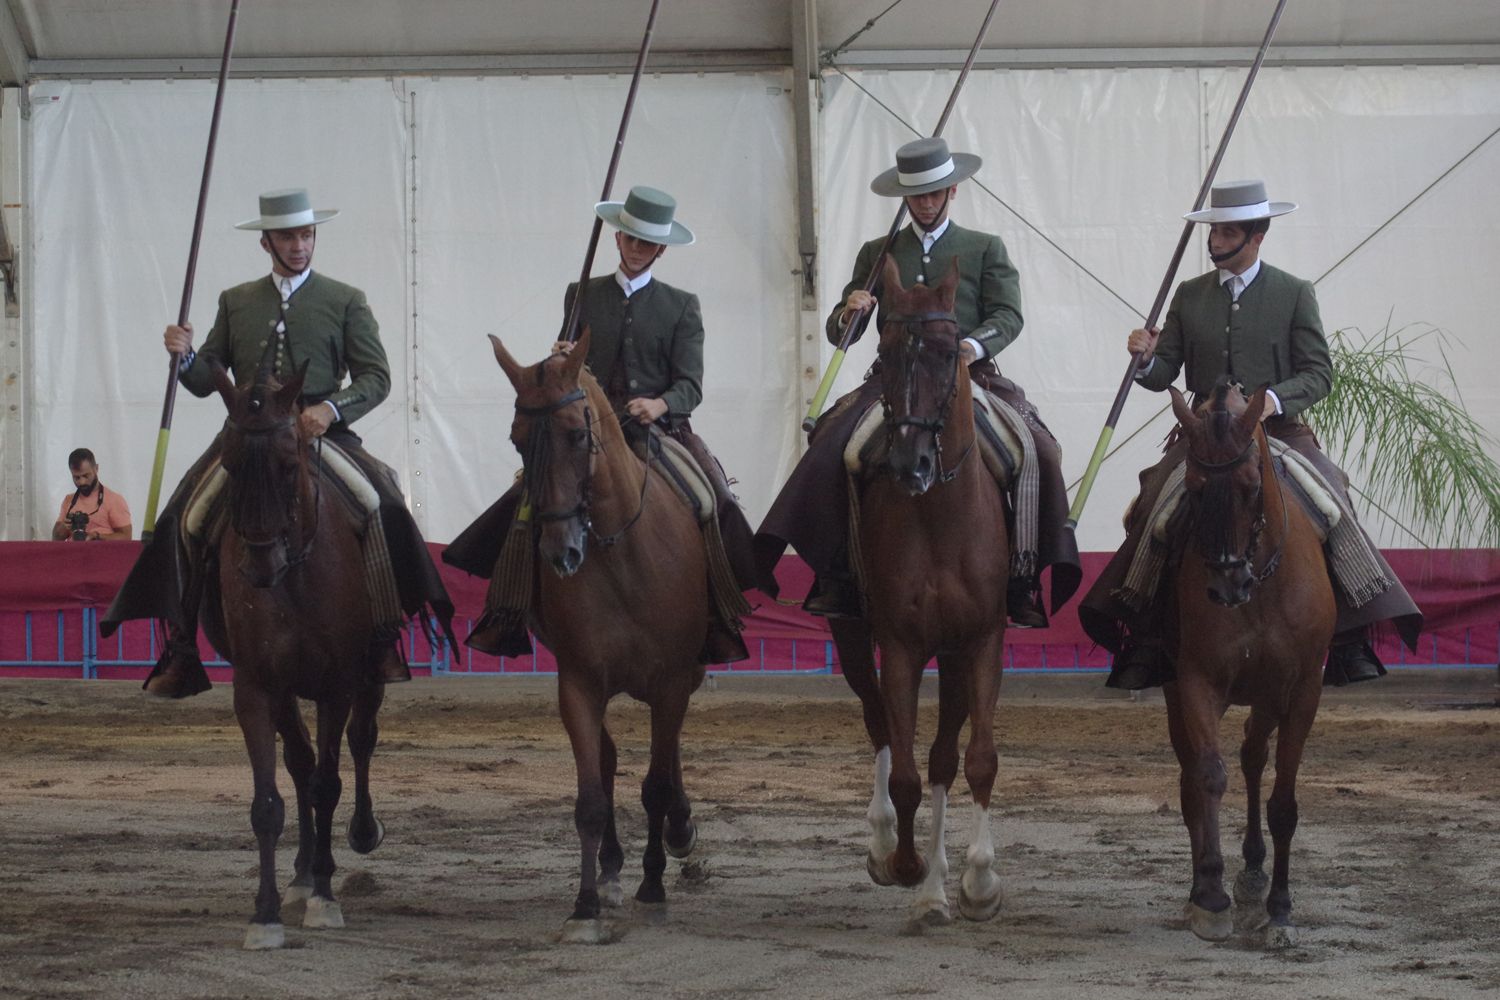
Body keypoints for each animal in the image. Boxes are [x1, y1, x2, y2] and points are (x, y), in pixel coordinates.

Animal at [202, 358, 390, 947]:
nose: (260, 566)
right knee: (300, 763)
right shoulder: (258, 688)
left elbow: (329, 782)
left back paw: (360, 833)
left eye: (289, 464)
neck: (295, 576)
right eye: (230, 463)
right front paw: (265, 913)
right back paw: (303, 874)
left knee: (361, 740)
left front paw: (327, 899)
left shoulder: (337, 685)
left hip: (370, 677)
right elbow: (272, 799)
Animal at [486, 329, 708, 947]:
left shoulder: (672, 682)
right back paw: (610, 872)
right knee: (610, 763)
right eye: (517, 440)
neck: (620, 555)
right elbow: (590, 794)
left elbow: (656, 785)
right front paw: (585, 905)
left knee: (666, 760)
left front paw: (652, 889)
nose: (560, 552)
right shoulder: (579, 683)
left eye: (577, 434)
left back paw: (679, 835)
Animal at [834, 257, 1008, 929]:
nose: (910, 464)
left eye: (945, 352)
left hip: (954, 656)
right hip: (853, 638)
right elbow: (904, 768)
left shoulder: (980, 640)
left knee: (941, 756)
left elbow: (974, 760)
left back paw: (939, 888)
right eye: (882, 353)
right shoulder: (902, 644)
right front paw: (905, 864)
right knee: (881, 725)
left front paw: (977, 882)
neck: (939, 514)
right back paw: (889, 848)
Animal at [1158, 380, 1338, 947]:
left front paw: (1280, 909)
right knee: (1196, 776)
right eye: (1194, 487)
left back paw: (1257, 876)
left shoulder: (1301, 691)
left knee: (1254, 755)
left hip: (1269, 696)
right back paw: (1209, 885)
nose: (1225, 586)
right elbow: (1209, 778)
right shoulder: (1196, 681)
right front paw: (1211, 897)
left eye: (1249, 484)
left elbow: (1283, 801)